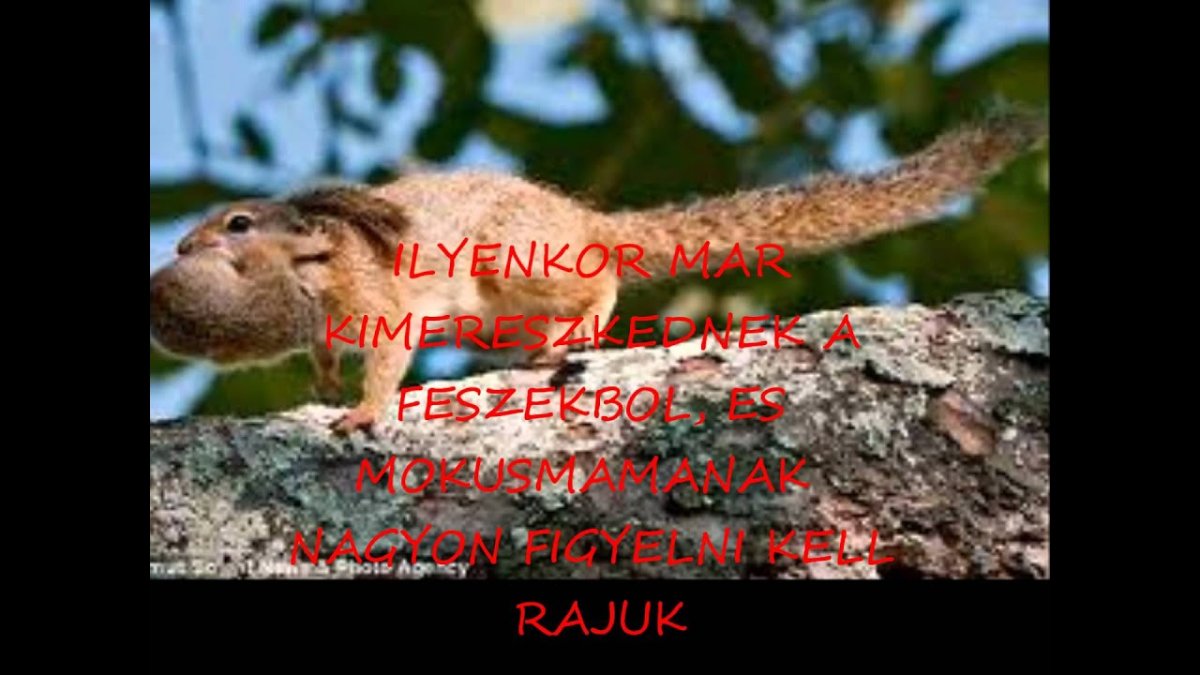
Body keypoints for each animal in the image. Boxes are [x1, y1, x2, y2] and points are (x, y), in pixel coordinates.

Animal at [150, 110, 1046, 434]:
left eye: (237, 224)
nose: (184, 247)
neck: (312, 273)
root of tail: (586, 222)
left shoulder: (372, 292)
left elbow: (391, 350)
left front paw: (365, 409)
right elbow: (327, 353)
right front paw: (327, 379)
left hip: (512, 260)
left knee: (604, 278)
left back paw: (578, 327)